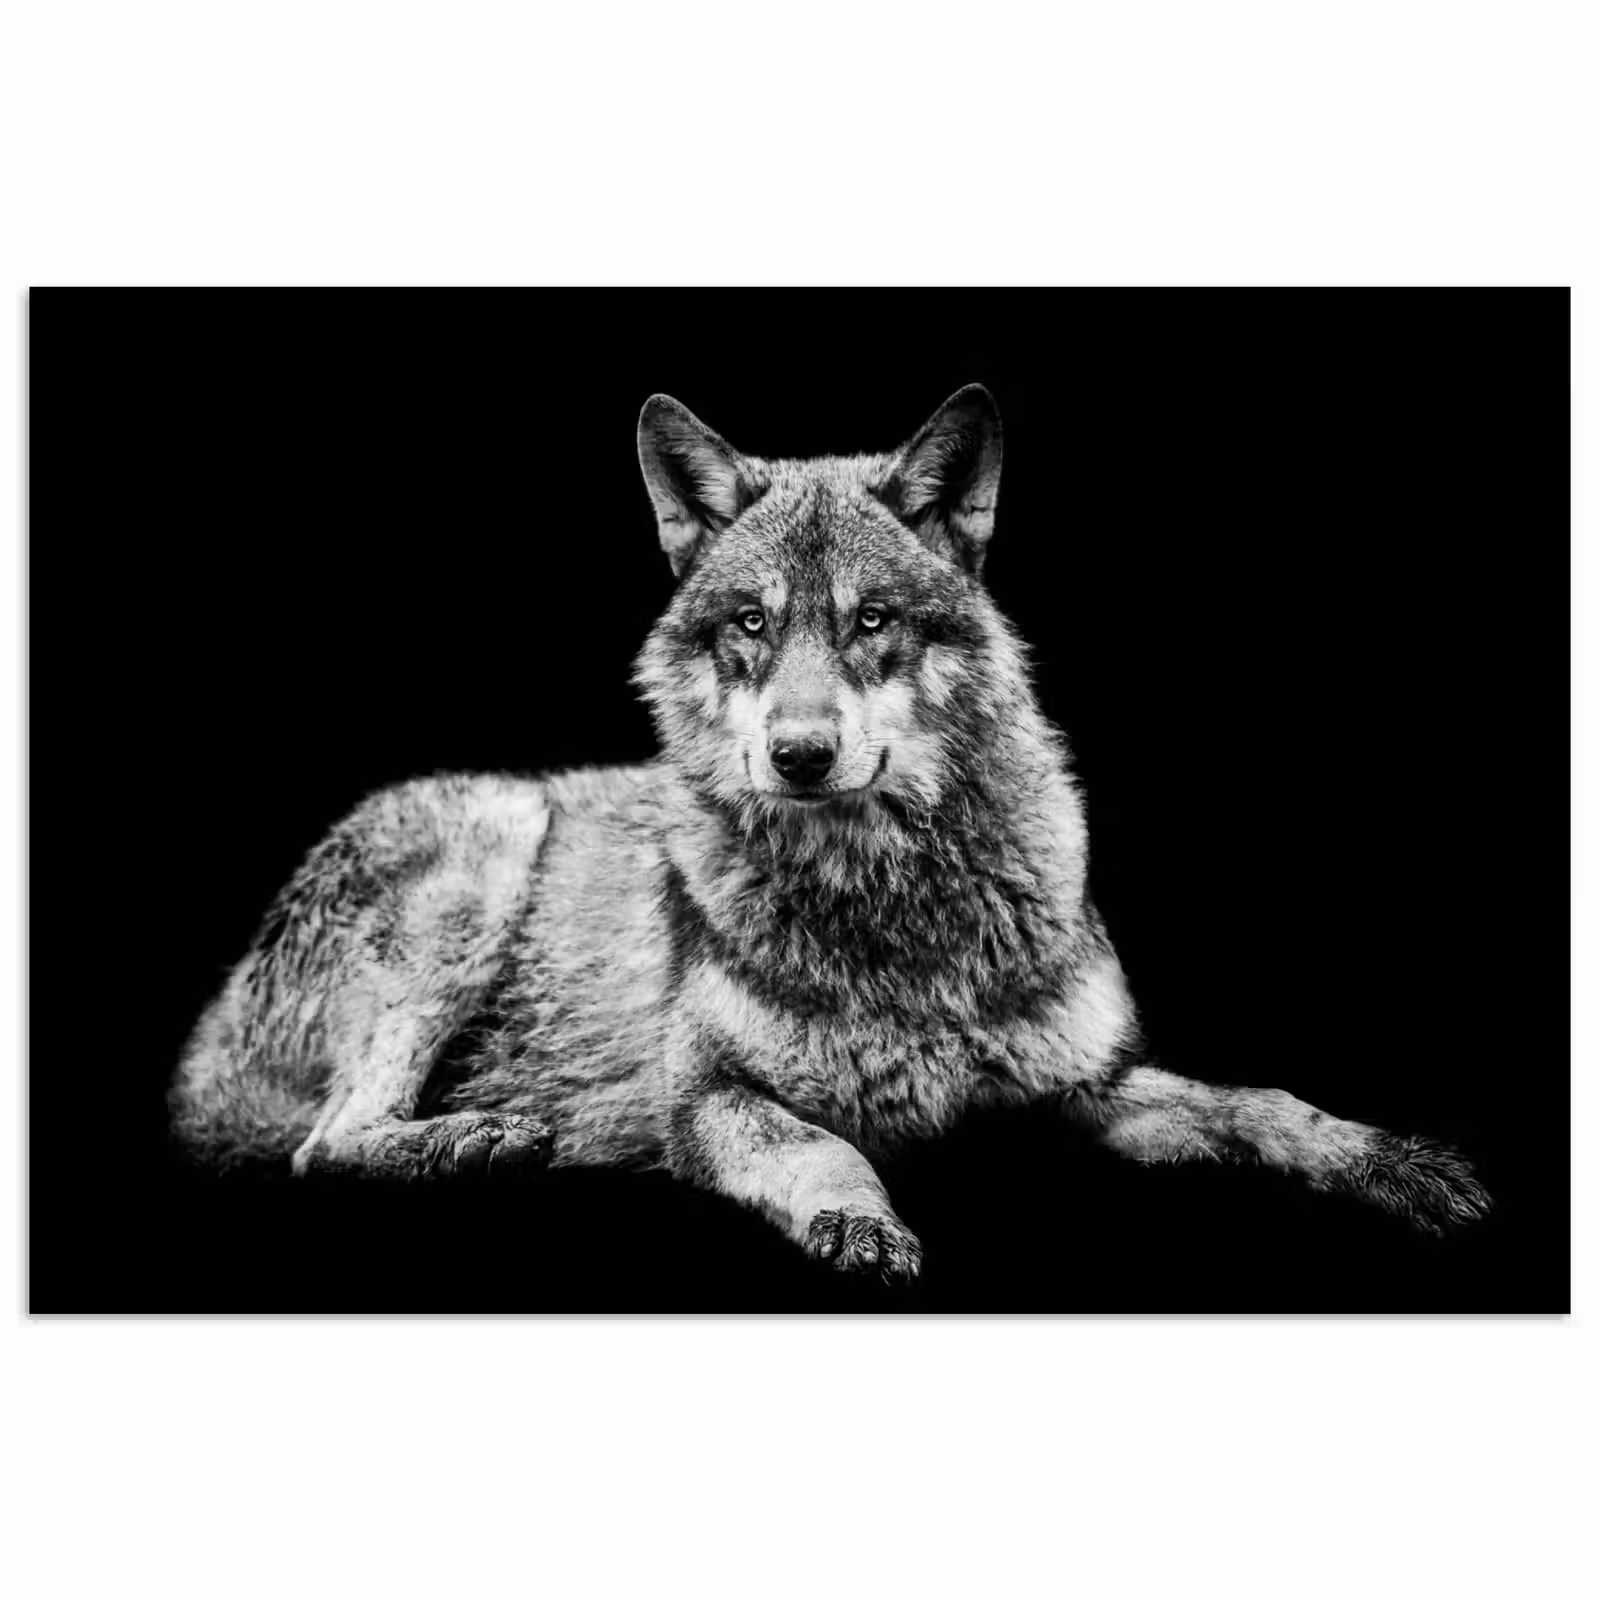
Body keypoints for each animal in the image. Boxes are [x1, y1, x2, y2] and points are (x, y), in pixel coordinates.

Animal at [170, 384, 1491, 1283]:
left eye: (870, 620)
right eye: (752, 623)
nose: (798, 754)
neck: (893, 907)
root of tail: (209, 1033)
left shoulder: (1087, 1085)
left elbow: (1264, 1102)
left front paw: (1394, 1161)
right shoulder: (710, 1100)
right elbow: (821, 1149)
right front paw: (859, 1220)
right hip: (484, 855)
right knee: (322, 1145)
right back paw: (483, 1139)